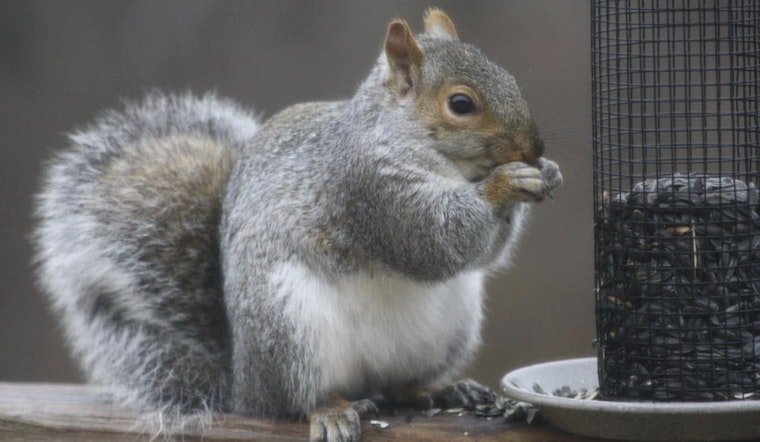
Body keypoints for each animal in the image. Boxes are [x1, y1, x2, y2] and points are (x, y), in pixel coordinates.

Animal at [33, 9, 562, 442]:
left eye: (509, 77)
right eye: (461, 104)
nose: (533, 148)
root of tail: (242, 382)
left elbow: (481, 252)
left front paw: (547, 173)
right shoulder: (368, 191)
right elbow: (432, 240)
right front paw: (504, 184)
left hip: (450, 325)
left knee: (396, 385)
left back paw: (441, 391)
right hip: (288, 326)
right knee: (293, 400)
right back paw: (329, 410)